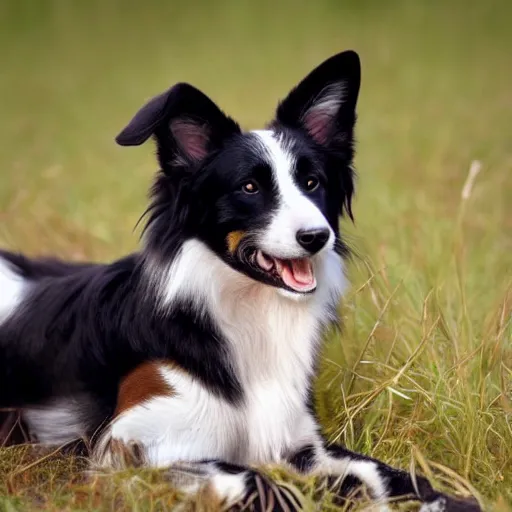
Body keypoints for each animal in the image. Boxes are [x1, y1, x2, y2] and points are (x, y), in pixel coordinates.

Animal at [0, 50, 480, 510]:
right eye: (249, 188)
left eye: (312, 182)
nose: (316, 237)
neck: (249, 313)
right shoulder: (125, 450)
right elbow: (252, 479)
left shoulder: (299, 441)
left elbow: (386, 474)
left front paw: (452, 500)